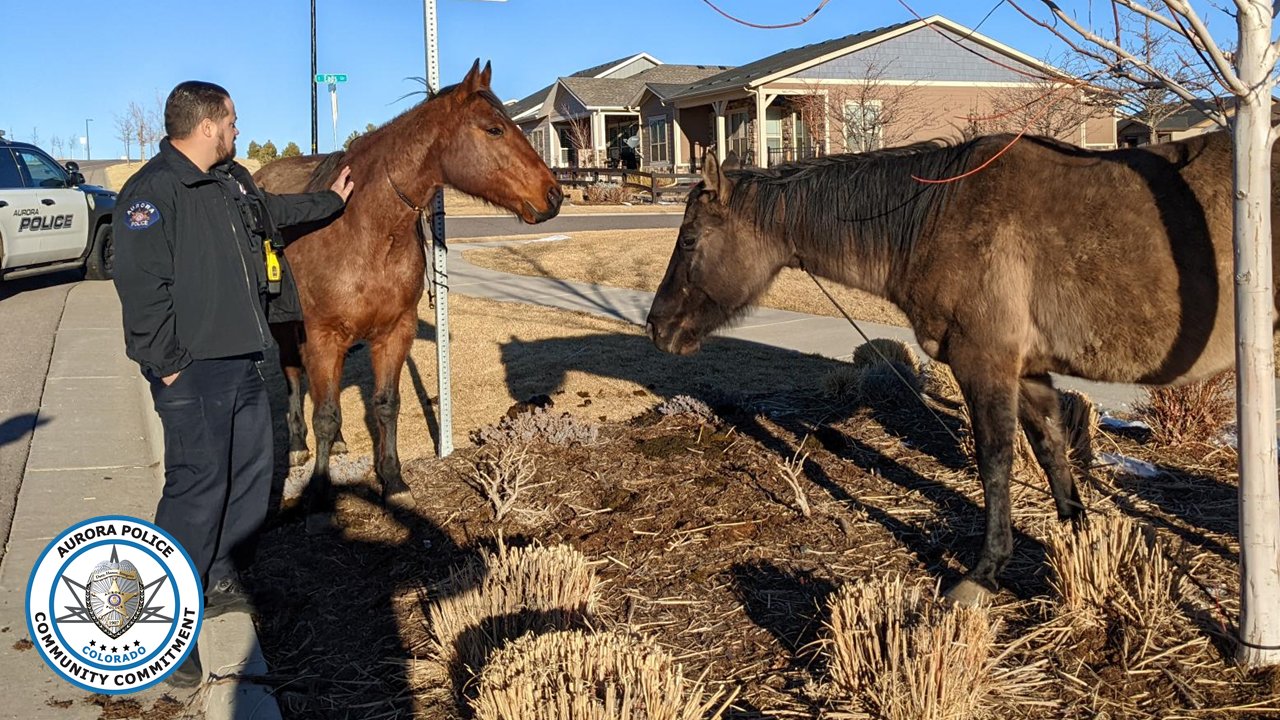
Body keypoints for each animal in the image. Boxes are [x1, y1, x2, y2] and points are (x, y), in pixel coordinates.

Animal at [254, 60, 560, 527]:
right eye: (494, 129)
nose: (554, 194)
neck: (363, 228)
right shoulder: (322, 337)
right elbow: (323, 413)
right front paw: (320, 497)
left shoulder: (394, 332)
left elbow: (386, 405)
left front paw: (393, 480)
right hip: (286, 330)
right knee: (294, 378)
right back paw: (297, 445)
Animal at [650, 131, 1280, 602]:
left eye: (689, 241)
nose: (657, 326)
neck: (938, 219)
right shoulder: (1028, 372)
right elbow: (1051, 449)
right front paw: (1080, 539)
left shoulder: (985, 365)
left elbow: (995, 462)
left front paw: (984, 572)